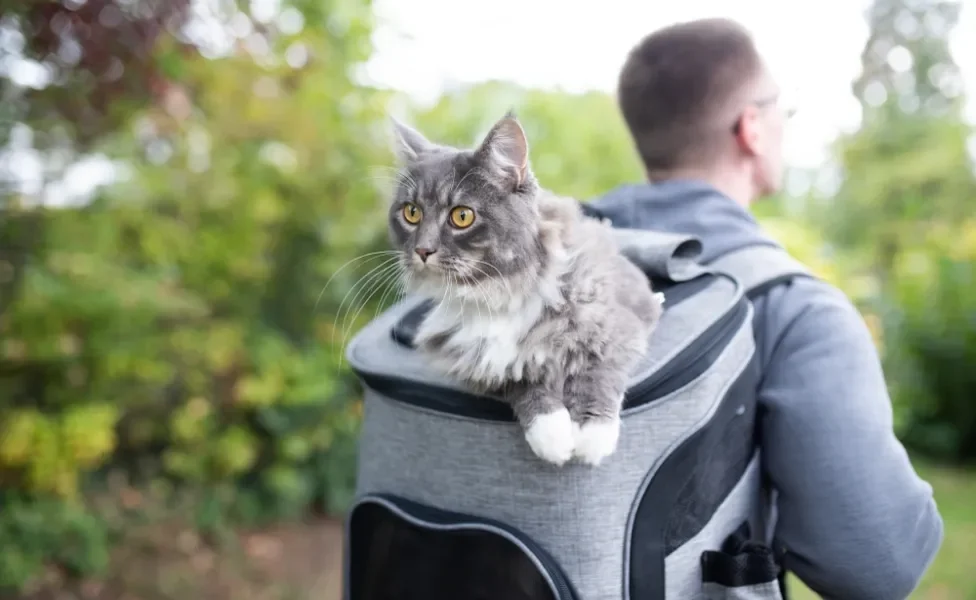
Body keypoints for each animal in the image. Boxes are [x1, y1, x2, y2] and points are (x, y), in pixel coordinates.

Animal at [386, 113, 668, 468]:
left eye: (462, 216)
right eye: (411, 212)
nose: (422, 250)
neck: (496, 294)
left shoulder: (617, 328)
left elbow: (598, 373)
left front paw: (591, 436)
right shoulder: (474, 363)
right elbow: (523, 381)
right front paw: (553, 436)